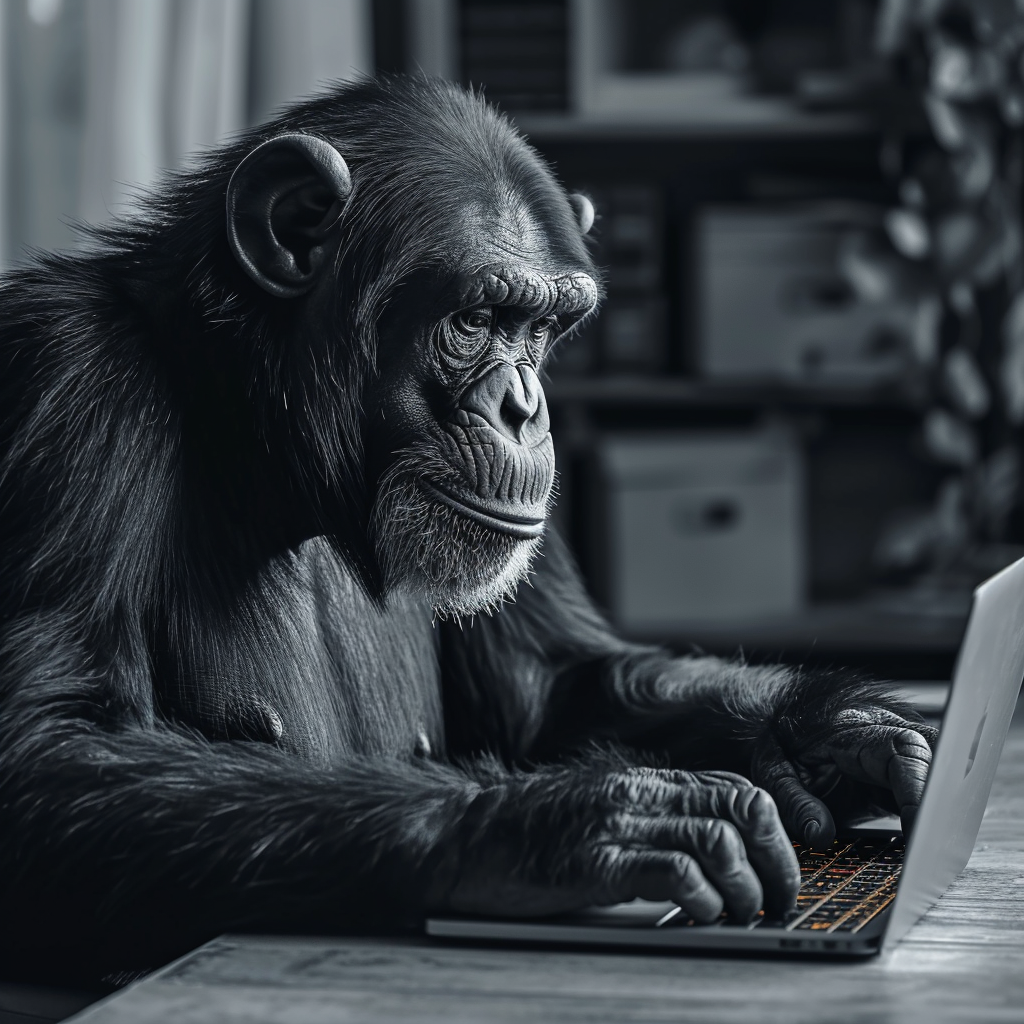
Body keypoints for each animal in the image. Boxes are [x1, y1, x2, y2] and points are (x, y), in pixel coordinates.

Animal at [0, 77, 933, 966]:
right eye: (477, 319)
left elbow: (554, 688)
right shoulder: (67, 385)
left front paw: (832, 734)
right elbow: (50, 750)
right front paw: (574, 825)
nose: (526, 409)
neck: (267, 449)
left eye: (544, 328)